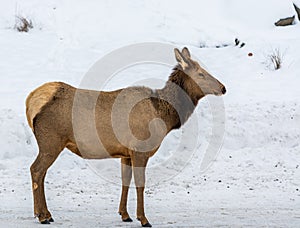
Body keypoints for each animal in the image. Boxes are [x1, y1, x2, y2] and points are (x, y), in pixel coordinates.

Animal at [27, 47, 226, 227]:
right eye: (201, 74)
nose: (223, 88)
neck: (164, 116)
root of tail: (31, 103)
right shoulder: (140, 149)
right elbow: (140, 183)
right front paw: (144, 219)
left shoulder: (126, 153)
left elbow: (125, 181)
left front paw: (125, 214)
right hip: (51, 141)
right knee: (36, 169)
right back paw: (43, 216)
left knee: (39, 172)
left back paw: (44, 213)